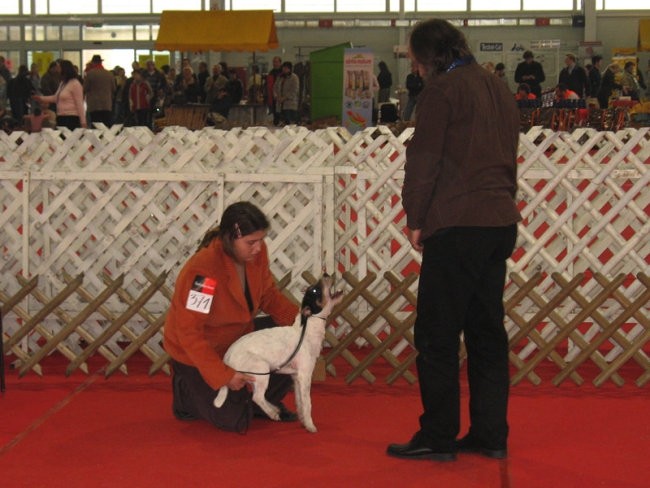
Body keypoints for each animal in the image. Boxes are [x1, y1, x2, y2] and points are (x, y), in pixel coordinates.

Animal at [214, 272, 344, 432]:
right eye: (315, 290)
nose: (326, 274)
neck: (306, 330)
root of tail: (227, 356)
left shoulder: (296, 377)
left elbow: (299, 402)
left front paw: (303, 421)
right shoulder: (305, 376)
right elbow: (307, 404)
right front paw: (310, 425)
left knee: (258, 396)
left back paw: (275, 409)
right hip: (261, 370)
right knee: (257, 397)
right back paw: (273, 413)